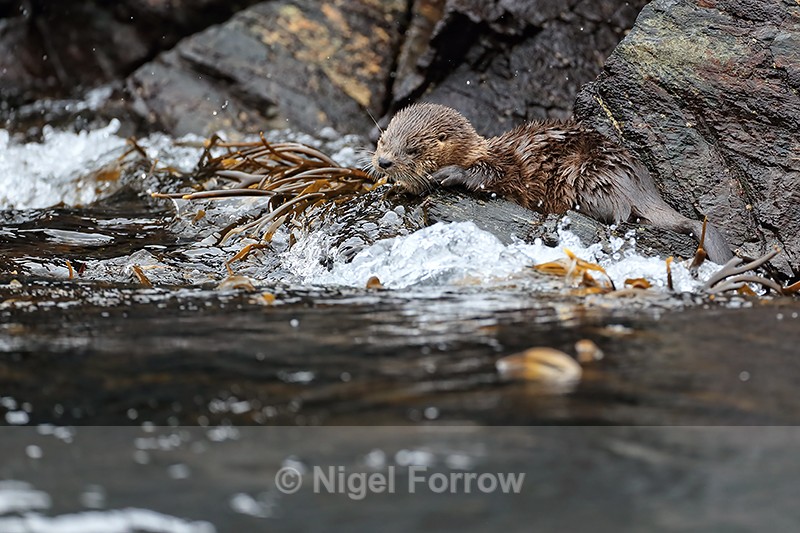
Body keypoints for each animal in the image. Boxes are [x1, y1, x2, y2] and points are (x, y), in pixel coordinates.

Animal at [370, 102, 733, 263]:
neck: (476, 149)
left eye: (412, 149)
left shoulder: (505, 165)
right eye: (382, 140)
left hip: (586, 174)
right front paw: (395, 186)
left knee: (620, 213)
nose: (384, 162)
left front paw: (448, 174)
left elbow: (489, 175)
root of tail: (641, 185)